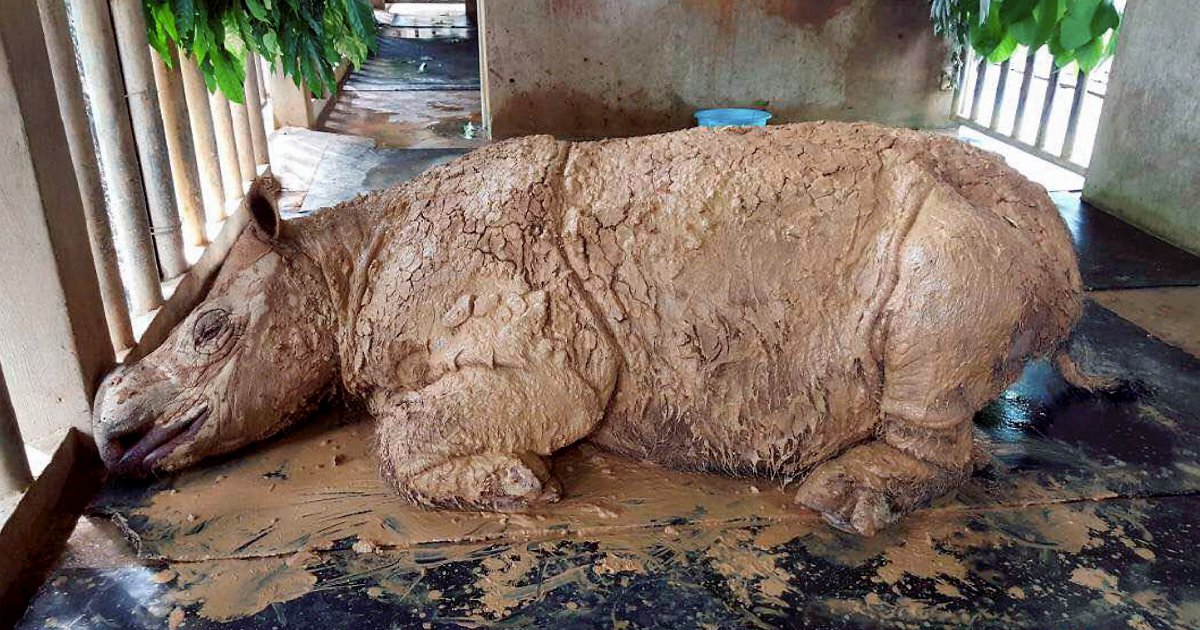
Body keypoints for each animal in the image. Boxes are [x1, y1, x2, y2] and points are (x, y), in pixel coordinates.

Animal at [92, 122, 1082, 535]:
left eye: (210, 330)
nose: (106, 427)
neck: (339, 267)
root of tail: (1058, 242)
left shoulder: (552, 357)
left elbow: (404, 431)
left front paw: (515, 487)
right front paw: (509, 480)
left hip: (960, 233)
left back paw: (841, 500)